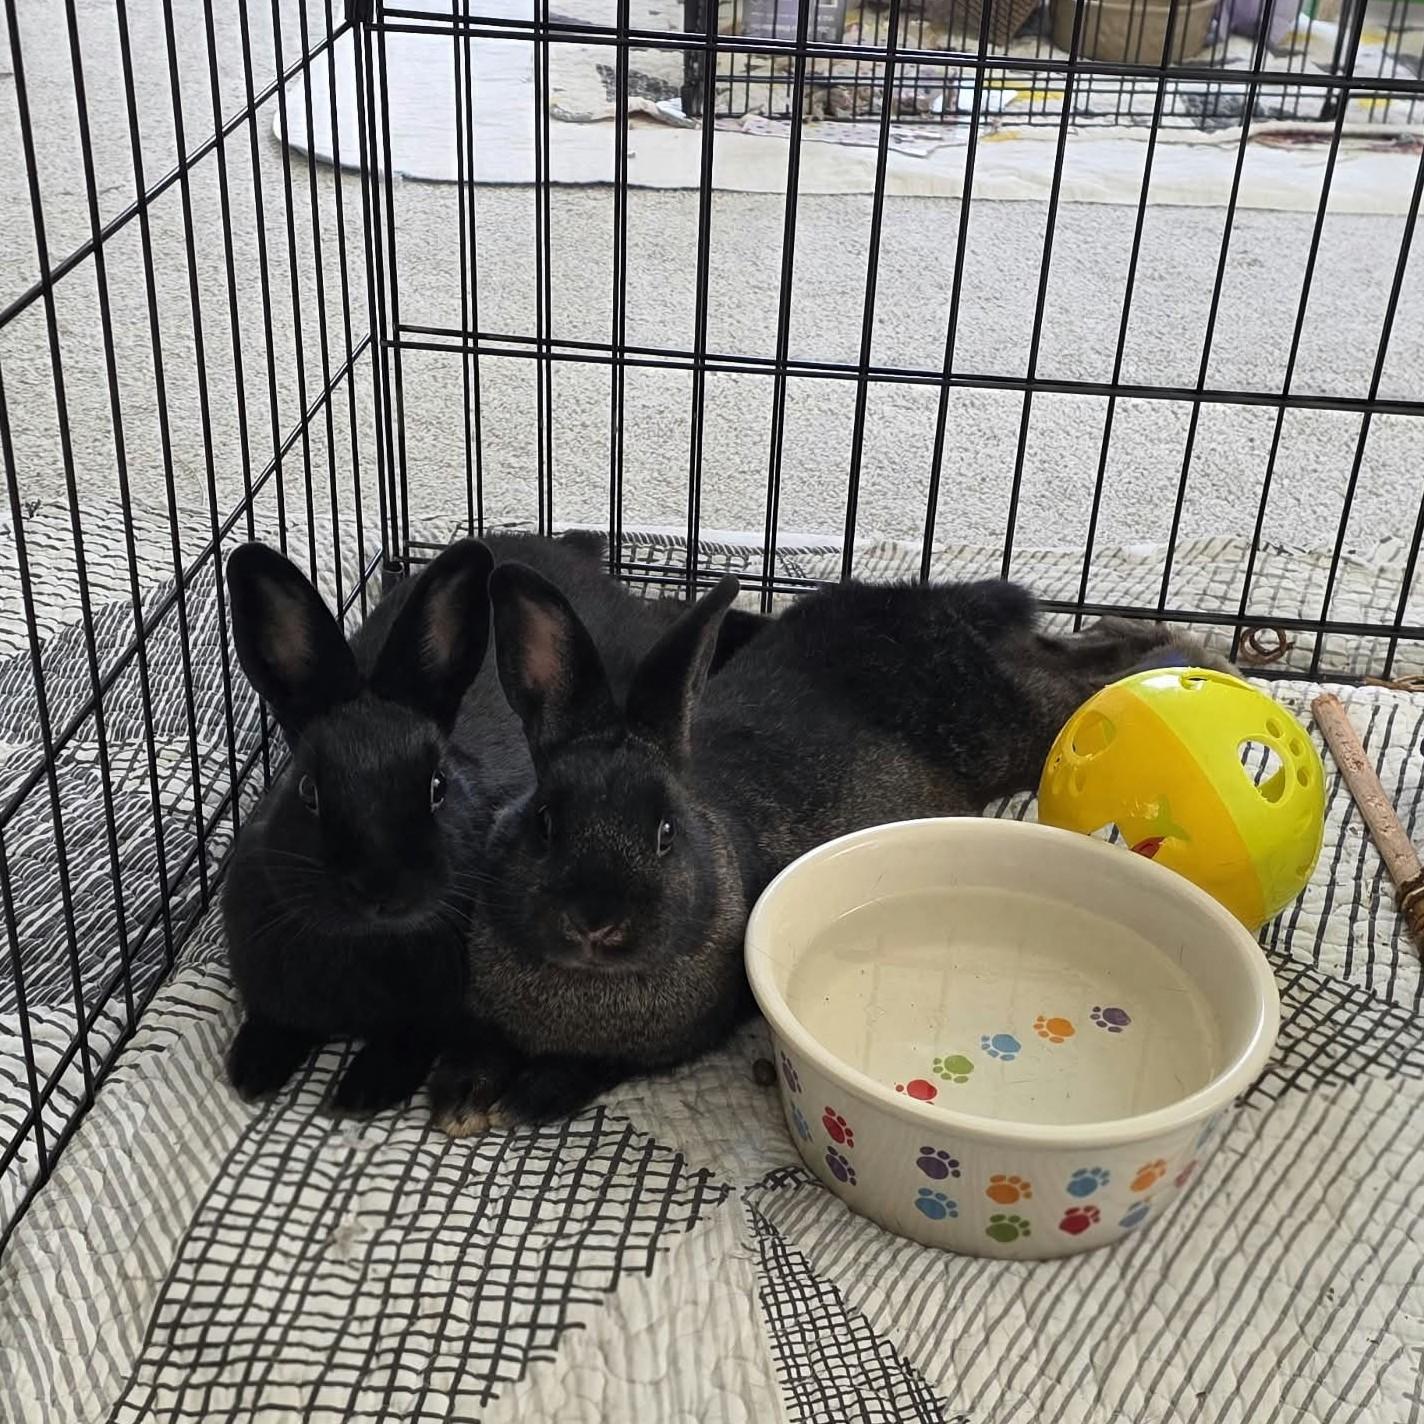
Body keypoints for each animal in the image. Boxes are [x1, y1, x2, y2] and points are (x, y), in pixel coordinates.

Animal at [222, 531, 765, 1114]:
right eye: (307, 791)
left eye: (437, 787)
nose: (381, 889)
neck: (365, 939)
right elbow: (273, 1021)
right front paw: (250, 1069)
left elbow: (408, 1043)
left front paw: (365, 1088)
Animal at [429, 569, 1229, 1130]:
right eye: (543, 823)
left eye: (664, 833)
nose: (596, 922)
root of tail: (947, 609)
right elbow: (477, 1045)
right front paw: (459, 1097)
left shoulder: (673, 1042)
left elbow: (590, 1068)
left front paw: (524, 1098)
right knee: (1064, 649)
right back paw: (1147, 636)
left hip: (1015, 729)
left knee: (1075, 679)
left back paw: (1191, 656)